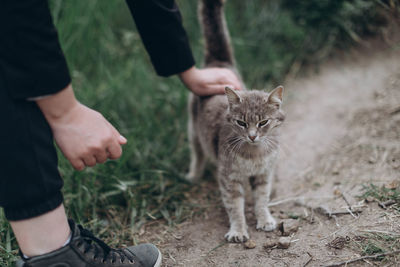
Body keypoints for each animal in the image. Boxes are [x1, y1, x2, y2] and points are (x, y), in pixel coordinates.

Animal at [187, 0, 284, 243]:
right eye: (241, 123)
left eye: (263, 122)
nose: (252, 136)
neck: (254, 155)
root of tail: (218, 64)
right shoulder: (229, 179)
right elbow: (234, 206)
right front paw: (239, 230)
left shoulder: (264, 174)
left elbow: (261, 199)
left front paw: (264, 219)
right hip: (193, 129)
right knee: (197, 153)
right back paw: (193, 175)